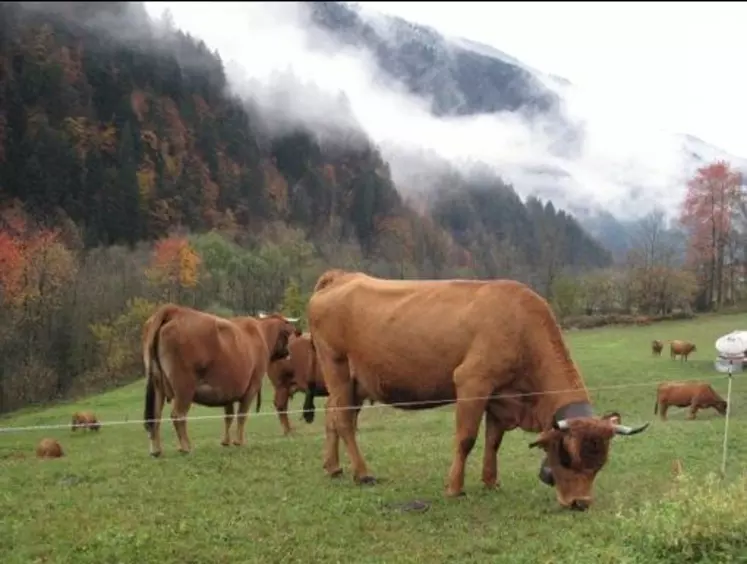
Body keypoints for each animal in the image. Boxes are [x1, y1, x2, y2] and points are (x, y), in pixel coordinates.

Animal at [142, 304, 300, 458]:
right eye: (288, 334)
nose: (288, 353)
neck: (260, 333)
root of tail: (174, 310)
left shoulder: (228, 390)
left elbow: (228, 416)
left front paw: (225, 442)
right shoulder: (252, 387)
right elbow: (241, 415)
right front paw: (238, 441)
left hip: (157, 384)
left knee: (154, 417)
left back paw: (156, 450)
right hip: (184, 387)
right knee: (178, 415)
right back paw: (186, 448)